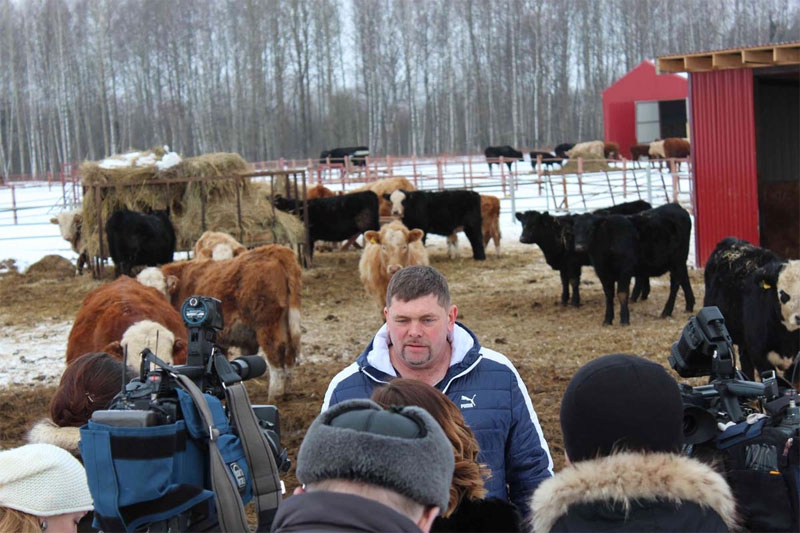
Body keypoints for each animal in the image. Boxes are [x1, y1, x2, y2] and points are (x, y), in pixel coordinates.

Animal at [155, 245, 304, 400]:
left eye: (160, 291)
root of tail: (277, 250)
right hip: (285, 320)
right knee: (289, 349)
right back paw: (287, 388)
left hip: (266, 323)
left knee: (275, 349)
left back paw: (275, 393)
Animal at [516, 200, 652, 308]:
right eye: (522, 224)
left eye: (534, 224)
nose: (522, 238)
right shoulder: (563, 264)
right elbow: (564, 281)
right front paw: (564, 300)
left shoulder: (573, 263)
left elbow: (573, 281)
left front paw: (575, 302)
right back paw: (643, 295)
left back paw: (634, 297)